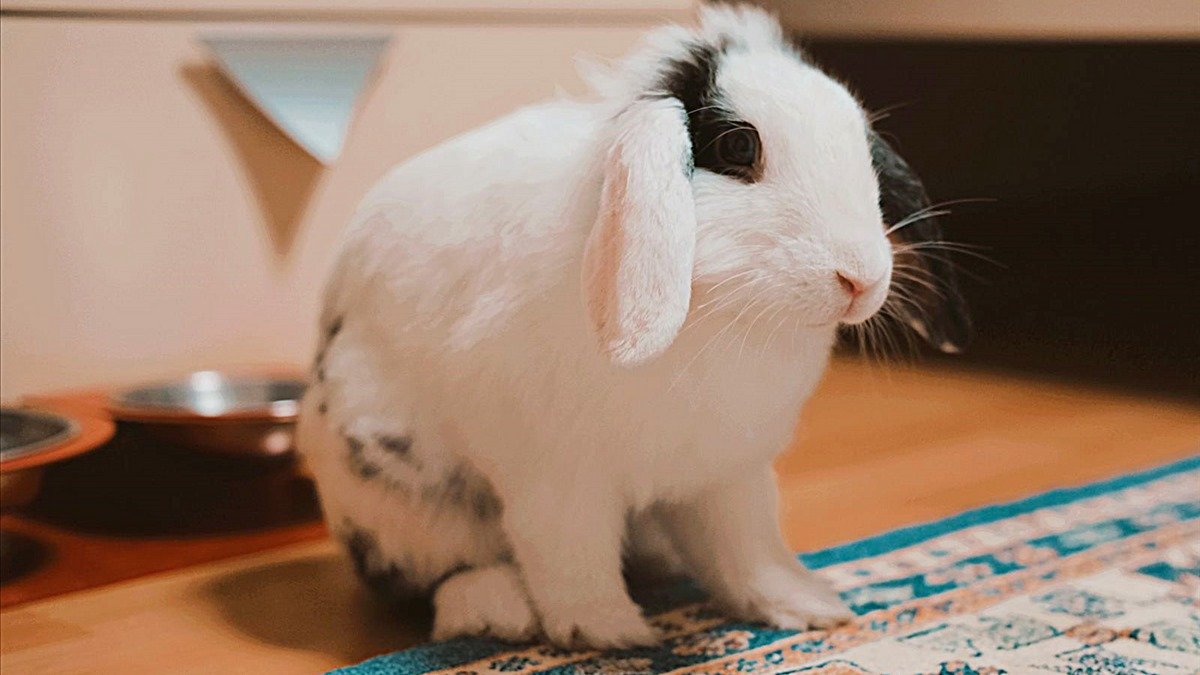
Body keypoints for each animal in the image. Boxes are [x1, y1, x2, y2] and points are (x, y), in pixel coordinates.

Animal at [296, 4, 970, 650]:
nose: (861, 278)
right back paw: (499, 612)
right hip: (403, 502)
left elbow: (747, 550)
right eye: (738, 147)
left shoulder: (729, 475)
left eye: (863, 146)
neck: (723, 313)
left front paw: (808, 607)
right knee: (441, 575)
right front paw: (611, 633)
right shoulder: (557, 477)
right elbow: (570, 557)